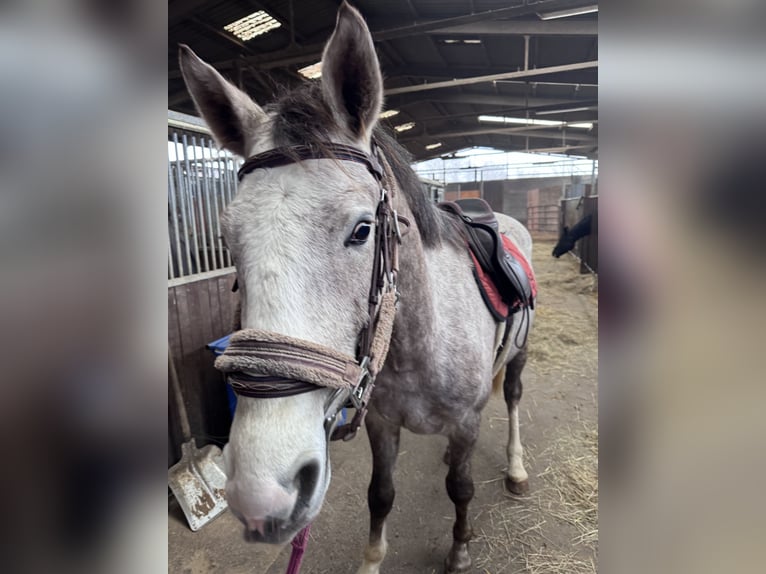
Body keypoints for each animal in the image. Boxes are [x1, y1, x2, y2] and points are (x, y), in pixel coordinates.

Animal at [179, 3, 535, 572]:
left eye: (363, 229)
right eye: (226, 237)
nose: (261, 494)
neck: (419, 343)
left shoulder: (464, 421)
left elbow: (460, 488)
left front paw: (459, 549)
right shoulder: (381, 424)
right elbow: (380, 494)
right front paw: (371, 560)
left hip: (520, 355)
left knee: (515, 399)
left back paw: (517, 469)